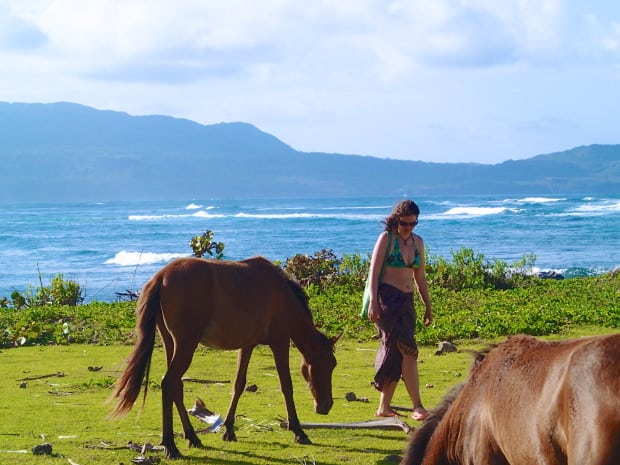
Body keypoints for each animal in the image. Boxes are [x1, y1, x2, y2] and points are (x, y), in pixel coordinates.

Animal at [109, 256, 336, 458]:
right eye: (330, 364)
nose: (326, 405)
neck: (281, 293)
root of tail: (161, 276)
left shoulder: (248, 345)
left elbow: (238, 384)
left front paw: (228, 430)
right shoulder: (279, 341)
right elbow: (286, 385)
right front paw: (299, 431)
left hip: (170, 343)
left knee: (176, 386)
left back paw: (192, 437)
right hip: (186, 344)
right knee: (168, 383)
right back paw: (170, 445)